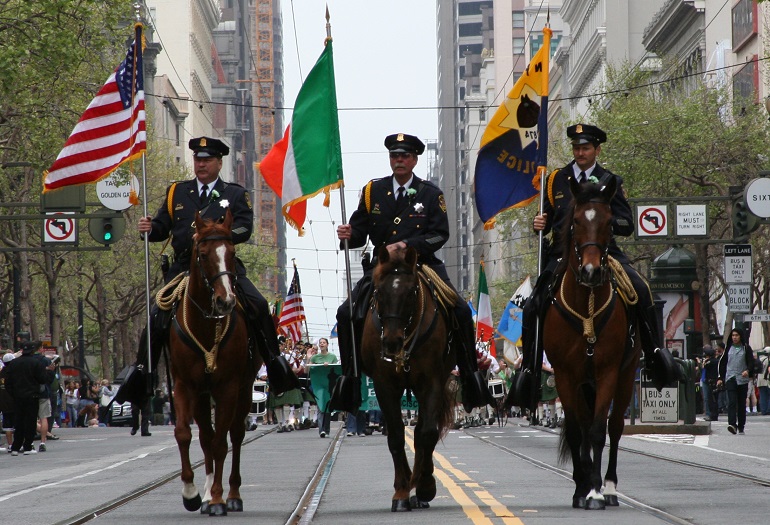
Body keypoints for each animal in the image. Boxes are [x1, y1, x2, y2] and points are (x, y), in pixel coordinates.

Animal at [169, 210, 258, 516]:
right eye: (203, 254)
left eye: (232, 252)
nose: (226, 301)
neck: (206, 324)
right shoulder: (185, 386)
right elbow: (185, 434)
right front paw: (192, 493)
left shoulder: (228, 387)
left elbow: (222, 442)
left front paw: (219, 498)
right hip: (202, 396)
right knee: (205, 437)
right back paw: (206, 495)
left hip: (244, 389)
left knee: (236, 434)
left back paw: (232, 494)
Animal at [360, 247, 456, 512]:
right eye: (378, 291)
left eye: (412, 291)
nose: (392, 342)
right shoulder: (384, 385)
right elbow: (396, 435)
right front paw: (402, 491)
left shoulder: (431, 381)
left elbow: (427, 433)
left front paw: (424, 486)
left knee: (424, 429)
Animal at [540, 178, 640, 510]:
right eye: (576, 222)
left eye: (610, 222)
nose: (591, 271)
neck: (586, 306)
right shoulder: (564, 375)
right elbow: (575, 429)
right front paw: (581, 488)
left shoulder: (608, 371)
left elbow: (598, 430)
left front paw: (595, 490)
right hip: (584, 382)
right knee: (582, 426)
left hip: (626, 375)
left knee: (615, 427)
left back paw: (608, 488)